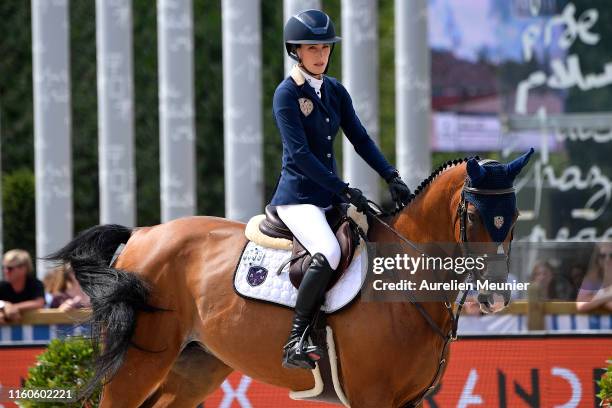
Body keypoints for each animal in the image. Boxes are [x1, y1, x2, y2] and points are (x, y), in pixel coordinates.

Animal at [49, 151, 532, 408]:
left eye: (513, 219)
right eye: (474, 216)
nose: (493, 300)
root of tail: (142, 234)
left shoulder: (408, 400)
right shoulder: (372, 396)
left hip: (195, 368)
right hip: (139, 365)